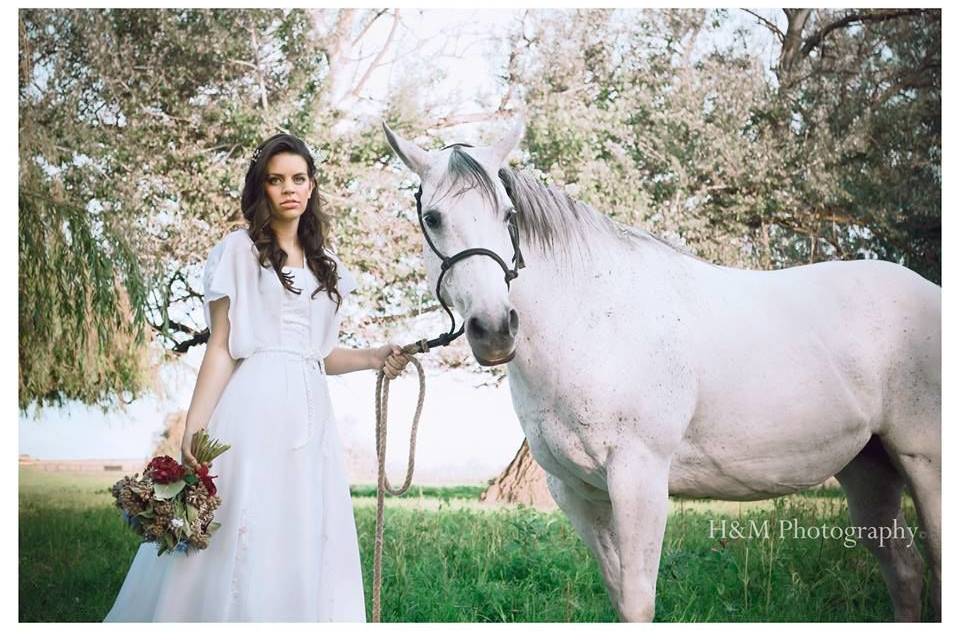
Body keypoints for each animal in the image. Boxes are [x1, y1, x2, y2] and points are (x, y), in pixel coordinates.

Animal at [380, 120, 936, 620]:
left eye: (508, 214)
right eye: (433, 217)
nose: (495, 329)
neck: (591, 319)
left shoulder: (639, 478)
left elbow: (639, 603)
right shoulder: (578, 493)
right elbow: (620, 598)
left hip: (924, 463)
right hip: (867, 468)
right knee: (906, 573)